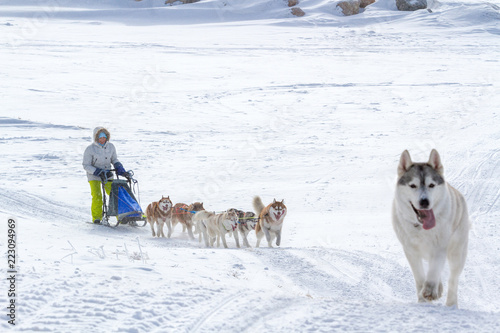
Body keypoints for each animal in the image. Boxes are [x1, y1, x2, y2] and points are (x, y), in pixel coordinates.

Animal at [392, 149, 470, 308]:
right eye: (413, 185)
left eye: (431, 185)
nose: (424, 201)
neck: (421, 228)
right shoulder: (410, 251)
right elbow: (419, 277)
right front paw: (423, 299)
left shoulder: (439, 247)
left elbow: (434, 271)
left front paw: (429, 291)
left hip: (457, 253)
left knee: (453, 280)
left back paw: (451, 304)